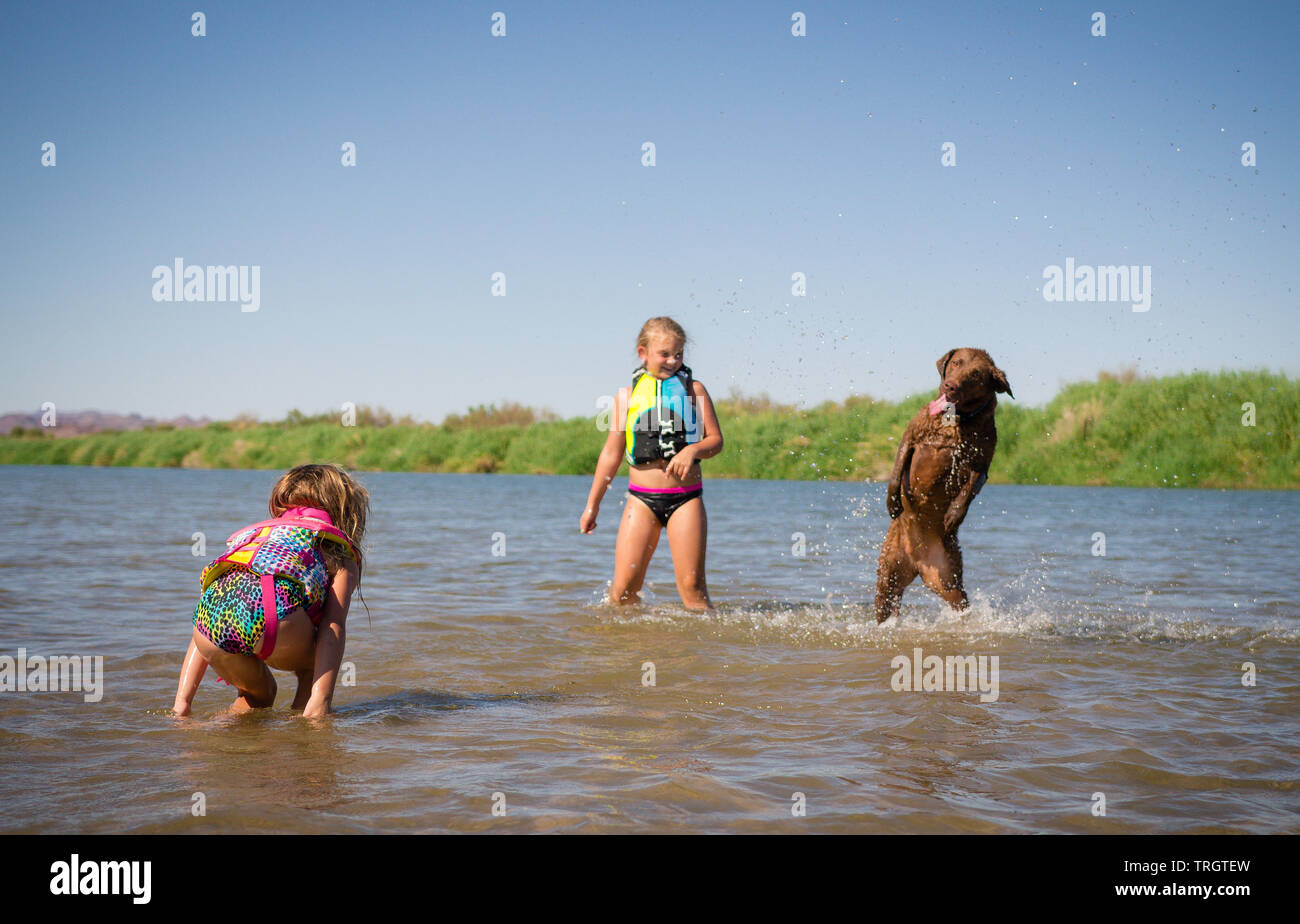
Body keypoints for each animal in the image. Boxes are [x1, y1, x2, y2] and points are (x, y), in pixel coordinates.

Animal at [878, 350, 1008, 626]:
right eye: (956, 363)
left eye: (976, 374)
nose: (950, 385)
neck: (955, 419)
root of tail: (915, 562)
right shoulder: (912, 436)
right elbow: (897, 469)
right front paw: (892, 502)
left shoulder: (982, 463)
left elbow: (969, 489)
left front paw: (953, 515)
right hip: (887, 572)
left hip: (948, 578)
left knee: (959, 601)